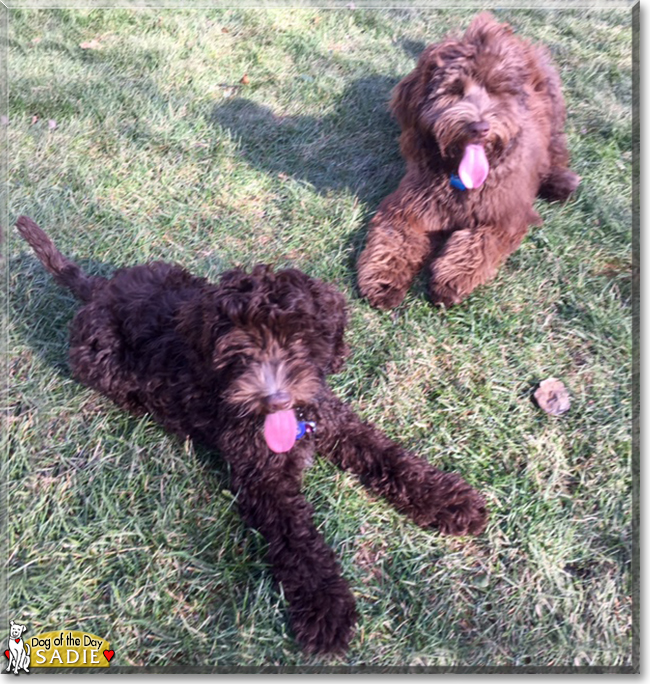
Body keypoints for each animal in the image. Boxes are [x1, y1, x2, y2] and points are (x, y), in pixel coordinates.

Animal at [16, 216, 486, 656]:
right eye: (240, 348)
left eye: (299, 341)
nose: (276, 399)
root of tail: (98, 290)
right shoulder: (263, 476)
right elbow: (297, 538)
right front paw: (326, 608)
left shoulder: (333, 418)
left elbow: (387, 454)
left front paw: (450, 500)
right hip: (100, 358)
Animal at [356, 12, 580, 308]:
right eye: (453, 90)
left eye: (495, 90)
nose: (480, 127)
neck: (460, 179)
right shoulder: (408, 206)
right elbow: (394, 238)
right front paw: (383, 281)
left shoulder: (505, 214)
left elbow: (478, 243)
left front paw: (450, 280)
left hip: (553, 106)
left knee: (555, 148)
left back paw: (561, 181)